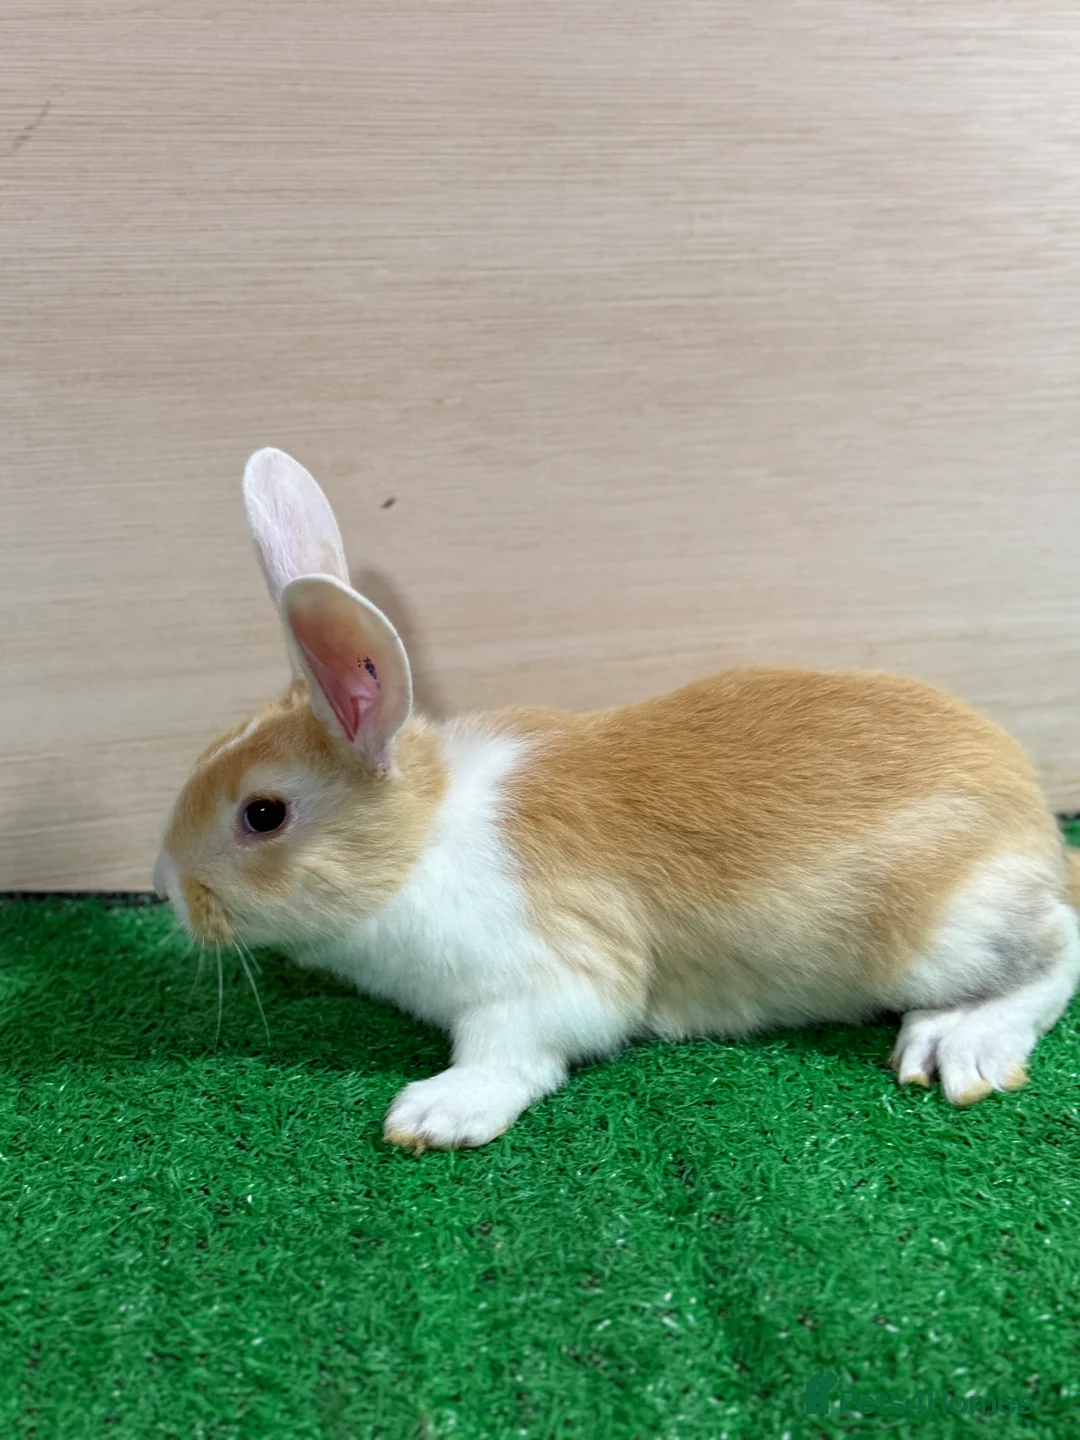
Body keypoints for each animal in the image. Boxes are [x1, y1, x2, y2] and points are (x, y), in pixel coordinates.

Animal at [154, 447, 1080, 1152]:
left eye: (263, 814)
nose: (165, 885)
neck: (422, 840)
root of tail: (1034, 825)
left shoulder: (546, 984)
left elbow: (510, 1054)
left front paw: (434, 1114)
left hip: (943, 932)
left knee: (1058, 947)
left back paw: (960, 1045)